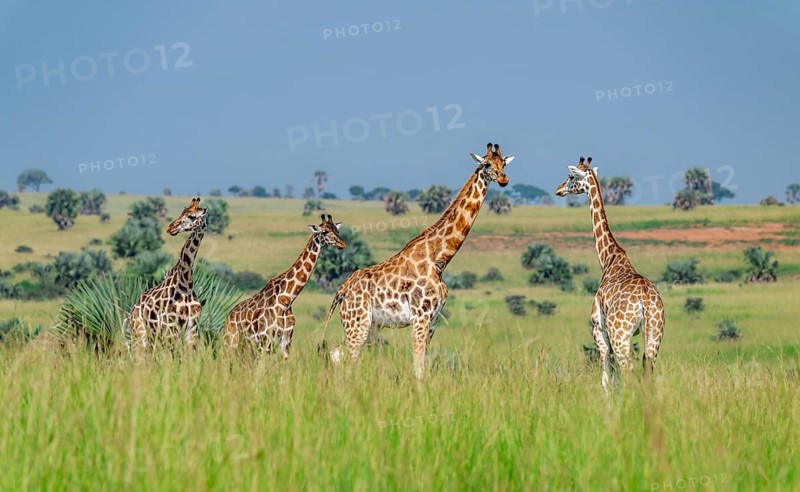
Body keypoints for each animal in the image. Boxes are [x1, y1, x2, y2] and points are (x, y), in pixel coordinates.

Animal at [125, 197, 208, 351]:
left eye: (192, 216)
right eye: (183, 212)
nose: (171, 228)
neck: (186, 285)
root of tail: (134, 307)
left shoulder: (192, 329)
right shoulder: (170, 328)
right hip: (140, 333)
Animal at [224, 214, 346, 358]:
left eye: (337, 230)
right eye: (325, 231)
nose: (342, 244)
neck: (286, 300)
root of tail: (229, 316)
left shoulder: (286, 341)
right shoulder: (266, 341)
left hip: (246, 348)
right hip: (231, 342)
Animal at [320, 143, 514, 379]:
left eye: (503, 163)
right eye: (486, 164)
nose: (503, 179)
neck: (439, 259)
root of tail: (340, 292)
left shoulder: (433, 319)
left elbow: (424, 364)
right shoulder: (421, 316)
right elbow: (419, 367)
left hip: (368, 324)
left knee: (338, 354)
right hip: (357, 322)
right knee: (346, 359)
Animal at [555, 157, 665, 392]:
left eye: (571, 177)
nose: (558, 189)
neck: (609, 258)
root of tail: (646, 301)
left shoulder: (599, 328)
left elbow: (606, 373)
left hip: (620, 334)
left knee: (629, 371)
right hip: (654, 332)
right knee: (647, 370)